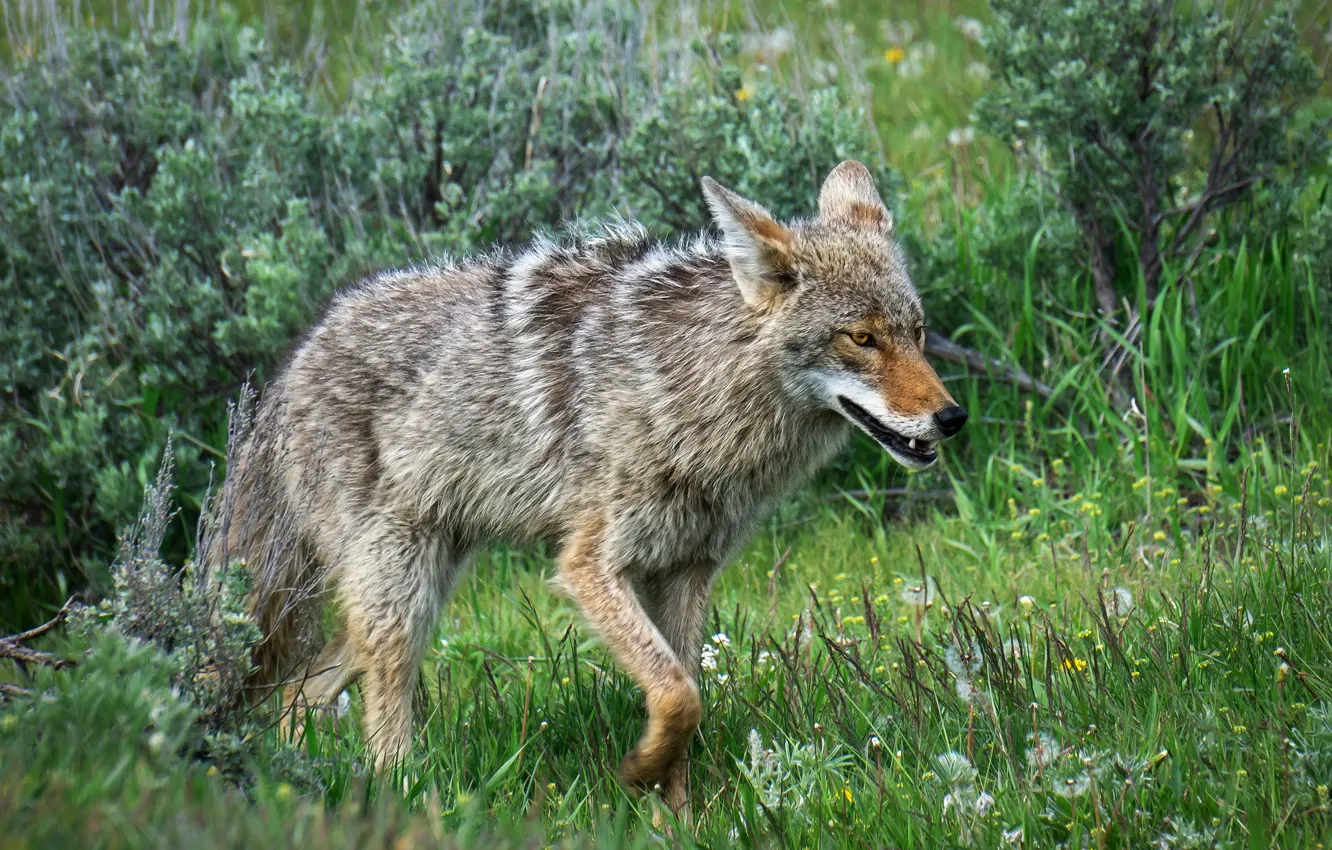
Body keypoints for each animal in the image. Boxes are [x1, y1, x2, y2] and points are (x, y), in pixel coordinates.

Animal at [222, 160, 967, 809]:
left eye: (917, 332)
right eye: (861, 338)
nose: (952, 418)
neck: (692, 390)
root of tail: (289, 369)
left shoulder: (687, 569)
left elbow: (688, 698)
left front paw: (676, 817)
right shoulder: (588, 566)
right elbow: (678, 696)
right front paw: (638, 774)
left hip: (414, 592)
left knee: (292, 701)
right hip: (400, 598)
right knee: (373, 728)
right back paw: (405, 800)